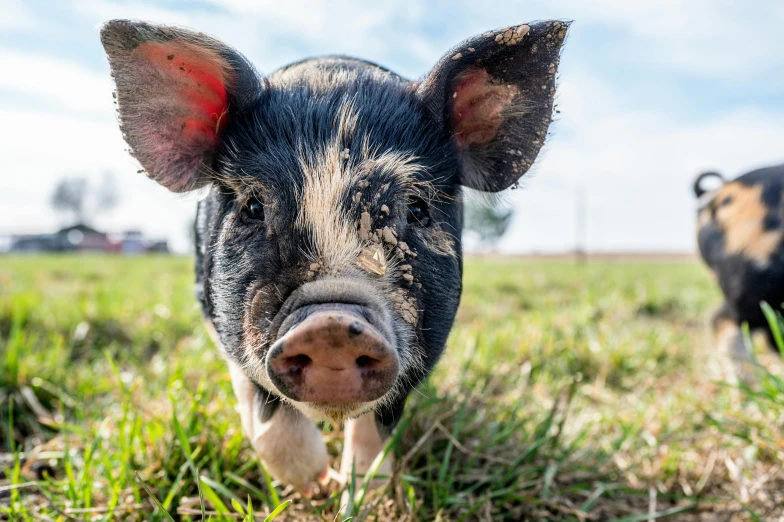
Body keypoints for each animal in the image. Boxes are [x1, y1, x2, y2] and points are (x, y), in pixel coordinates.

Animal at [101, 19, 568, 492]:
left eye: (417, 208)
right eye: (253, 205)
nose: (331, 326)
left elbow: (375, 435)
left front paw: (356, 489)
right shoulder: (221, 320)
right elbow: (265, 418)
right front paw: (316, 483)